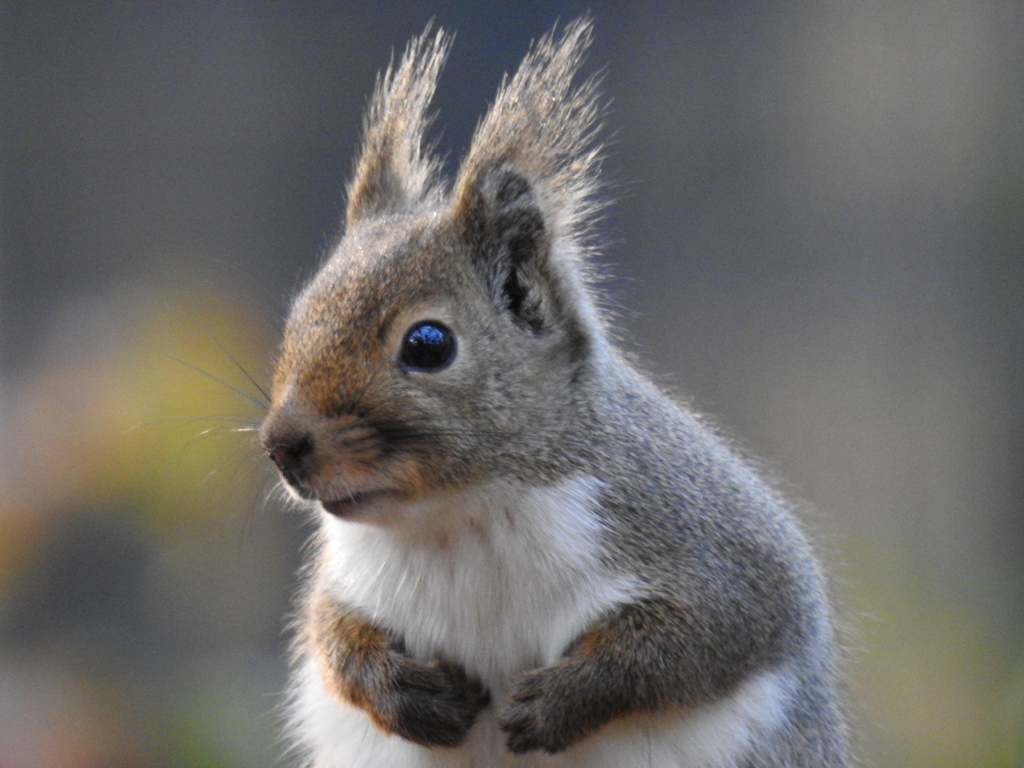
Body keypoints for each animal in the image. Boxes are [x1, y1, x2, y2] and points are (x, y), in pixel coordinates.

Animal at [260, 18, 851, 768]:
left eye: (428, 344)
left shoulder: (720, 559)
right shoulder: (351, 580)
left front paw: (556, 702)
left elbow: (692, 644)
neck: (461, 516)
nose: (282, 445)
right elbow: (331, 634)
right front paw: (409, 694)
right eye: (300, 312)